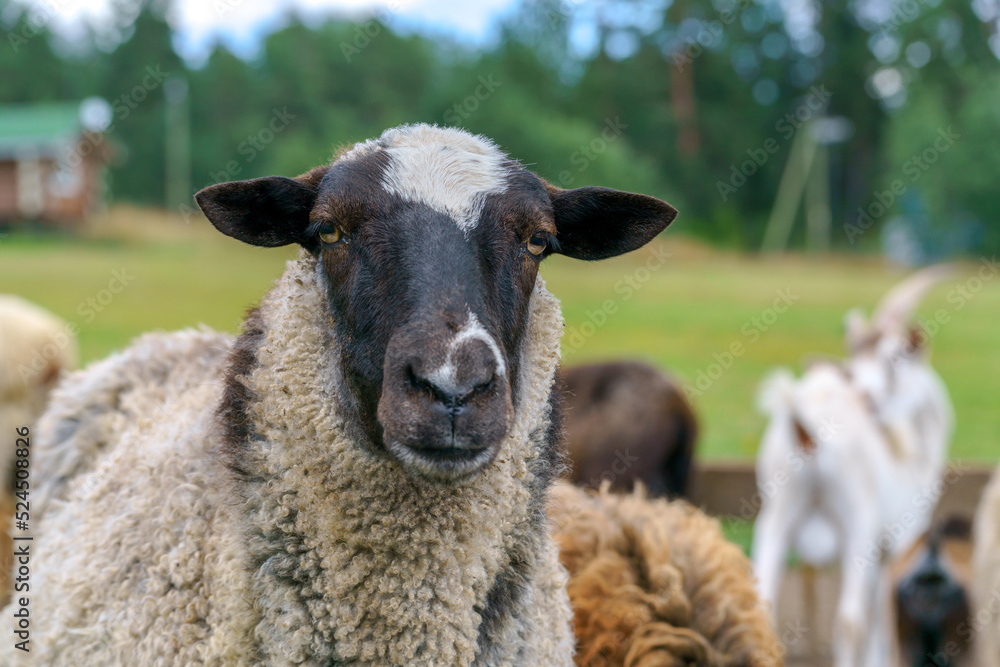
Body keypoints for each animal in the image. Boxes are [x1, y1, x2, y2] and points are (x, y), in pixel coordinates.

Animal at [752, 268, 952, 667]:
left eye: (894, 357)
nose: (867, 396)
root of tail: (805, 425)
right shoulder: (899, 536)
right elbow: (881, 611)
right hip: (856, 524)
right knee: (849, 620)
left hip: (776, 514)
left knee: (762, 605)